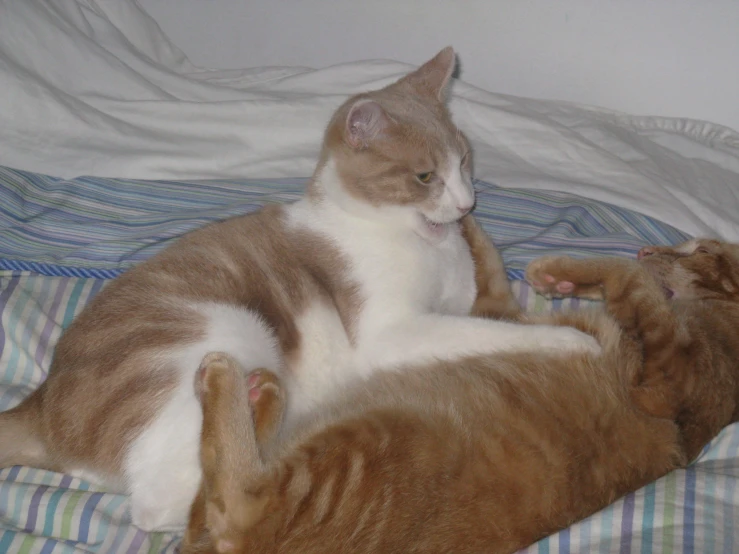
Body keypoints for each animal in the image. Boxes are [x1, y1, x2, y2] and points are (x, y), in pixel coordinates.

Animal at [0, 48, 600, 532]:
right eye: (425, 177)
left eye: (465, 160)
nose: (465, 203)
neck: (423, 243)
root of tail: (43, 404)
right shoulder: (393, 332)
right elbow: (491, 332)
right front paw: (572, 342)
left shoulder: (469, 295)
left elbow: (493, 294)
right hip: (227, 331)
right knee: (171, 502)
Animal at [181, 230, 739, 552]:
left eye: (702, 250)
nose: (647, 246)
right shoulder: (498, 313)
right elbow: (490, 263)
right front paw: (557, 276)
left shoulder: (664, 380)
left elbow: (634, 282)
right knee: (204, 514)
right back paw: (262, 394)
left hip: (375, 440)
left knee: (237, 512)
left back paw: (226, 379)